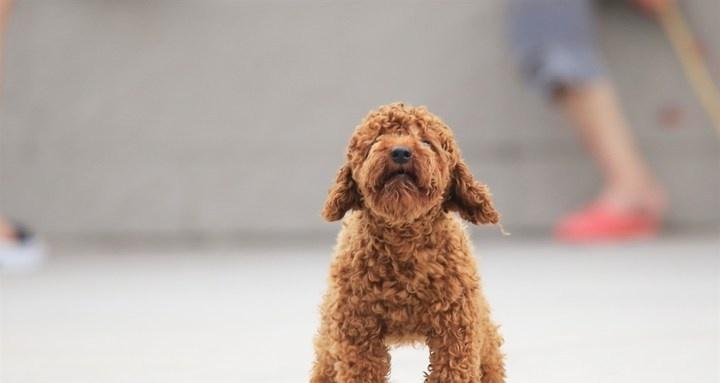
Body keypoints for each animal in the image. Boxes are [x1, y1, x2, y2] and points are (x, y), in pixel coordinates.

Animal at [310, 103, 506, 382]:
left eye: (426, 141)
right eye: (376, 140)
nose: (401, 152)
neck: (403, 239)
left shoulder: (455, 329)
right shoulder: (357, 330)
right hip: (330, 338)